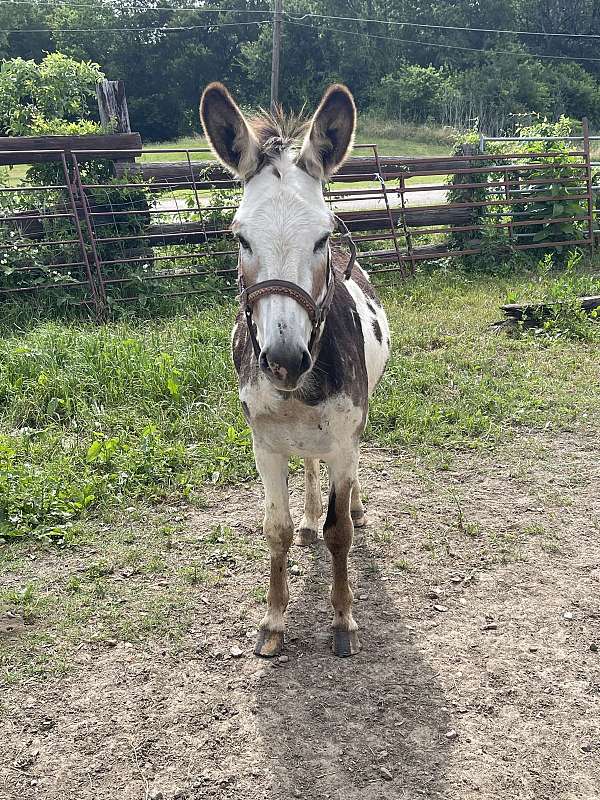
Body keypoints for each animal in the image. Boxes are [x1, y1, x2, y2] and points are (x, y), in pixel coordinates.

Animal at [200, 82, 390, 657]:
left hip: (353, 427)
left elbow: (339, 534)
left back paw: (353, 507)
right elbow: (276, 531)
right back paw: (310, 515)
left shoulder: (344, 436)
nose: (283, 362)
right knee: (308, 466)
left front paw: (343, 619)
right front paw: (274, 622)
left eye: (322, 238)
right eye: (240, 237)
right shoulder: (265, 444)